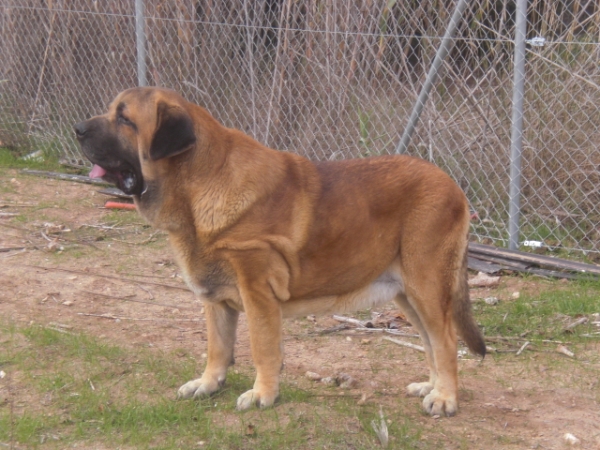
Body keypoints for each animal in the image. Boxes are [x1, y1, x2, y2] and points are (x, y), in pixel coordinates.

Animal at [76, 86, 488, 416]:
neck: (196, 184)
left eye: (125, 118)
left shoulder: (257, 292)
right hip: (408, 295)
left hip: (426, 286)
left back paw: (445, 399)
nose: (77, 130)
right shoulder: (215, 300)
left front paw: (263, 395)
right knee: (431, 342)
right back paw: (432, 387)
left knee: (446, 341)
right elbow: (217, 348)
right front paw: (208, 385)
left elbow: (262, 348)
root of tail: (454, 186)